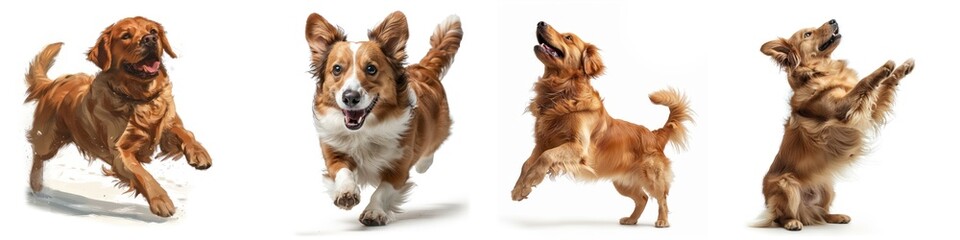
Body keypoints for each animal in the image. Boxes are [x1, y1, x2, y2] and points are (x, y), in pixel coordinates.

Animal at [304, 10, 462, 225]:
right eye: (337, 69)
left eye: (371, 69)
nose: (350, 97)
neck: (365, 130)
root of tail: (424, 68)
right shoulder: (334, 156)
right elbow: (343, 172)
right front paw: (346, 193)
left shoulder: (399, 167)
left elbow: (383, 191)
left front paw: (374, 211)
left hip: (439, 128)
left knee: (432, 146)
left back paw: (423, 163)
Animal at [512, 22, 692, 227]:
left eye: (568, 37)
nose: (540, 23)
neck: (561, 93)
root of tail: (654, 134)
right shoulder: (542, 143)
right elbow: (526, 164)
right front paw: (518, 189)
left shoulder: (577, 147)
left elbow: (546, 157)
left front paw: (529, 184)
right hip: (622, 183)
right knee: (643, 198)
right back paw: (631, 219)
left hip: (652, 176)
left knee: (662, 198)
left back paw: (662, 221)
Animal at [756, 19, 916, 231]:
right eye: (808, 34)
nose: (833, 20)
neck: (821, 71)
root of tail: (804, 212)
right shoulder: (841, 108)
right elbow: (863, 82)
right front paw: (884, 68)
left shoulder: (868, 110)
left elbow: (886, 84)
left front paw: (903, 67)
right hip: (786, 184)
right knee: (780, 216)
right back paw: (792, 222)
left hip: (827, 188)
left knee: (821, 213)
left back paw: (836, 217)